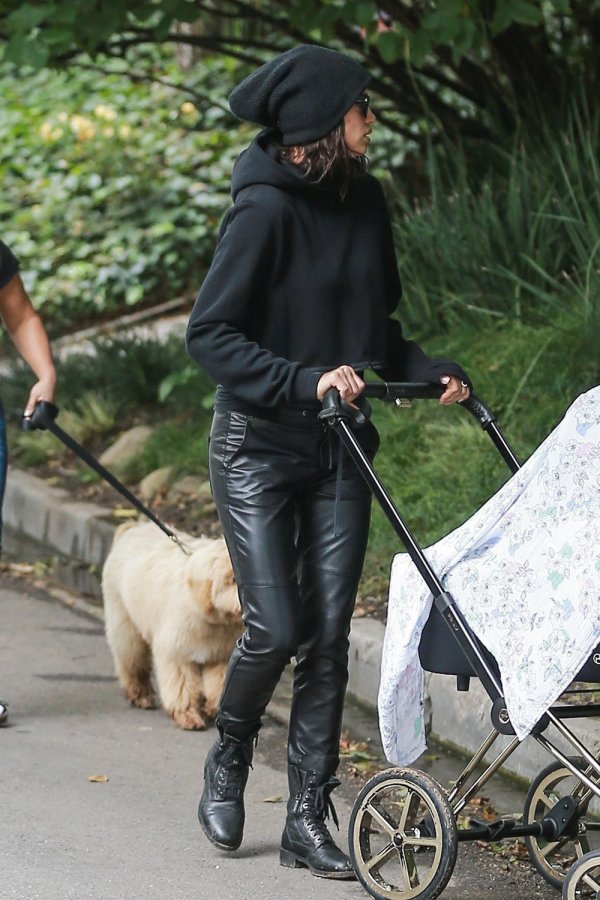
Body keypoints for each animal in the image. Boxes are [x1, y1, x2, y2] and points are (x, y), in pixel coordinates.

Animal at [102, 520, 241, 732]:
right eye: (233, 579)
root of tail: (132, 529)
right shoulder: (177, 653)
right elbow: (182, 685)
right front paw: (188, 715)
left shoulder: (220, 656)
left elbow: (221, 683)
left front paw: (214, 708)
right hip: (126, 627)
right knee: (132, 663)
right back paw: (140, 694)